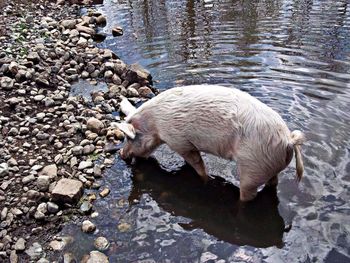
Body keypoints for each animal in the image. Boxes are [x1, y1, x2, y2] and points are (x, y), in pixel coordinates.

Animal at [114, 85, 304, 202]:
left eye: (129, 138)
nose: (121, 154)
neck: (155, 125)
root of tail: (288, 140)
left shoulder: (179, 141)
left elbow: (197, 163)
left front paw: (206, 179)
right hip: (269, 166)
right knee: (273, 183)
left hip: (254, 168)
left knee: (248, 196)